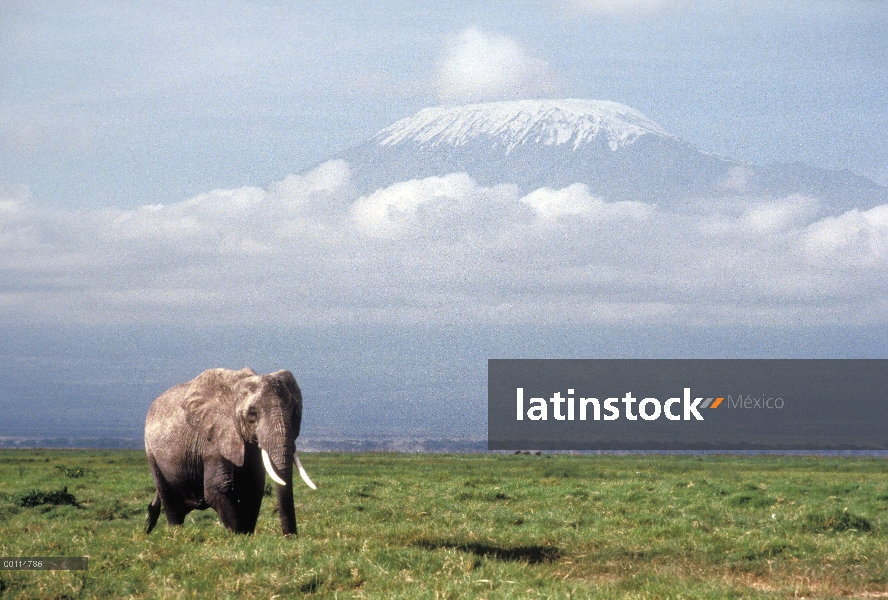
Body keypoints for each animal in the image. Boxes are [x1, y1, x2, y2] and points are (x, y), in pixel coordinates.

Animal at [143, 368, 316, 536]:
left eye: (295, 412)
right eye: (253, 413)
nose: (290, 537)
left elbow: (253, 487)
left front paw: (247, 535)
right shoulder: (214, 439)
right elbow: (218, 489)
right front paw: (238, 536)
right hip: (151, 452)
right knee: (169, 500)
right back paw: (176, 533)